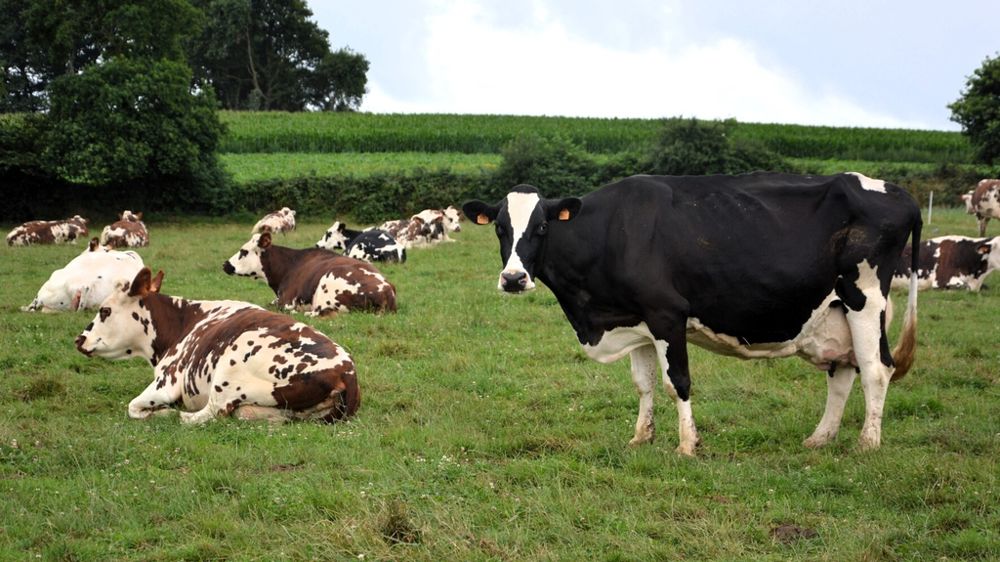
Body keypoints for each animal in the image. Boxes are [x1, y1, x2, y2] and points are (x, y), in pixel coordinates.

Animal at [74, 267, 360, 424]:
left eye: (105, 310)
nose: (79, 339)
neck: (182, 323)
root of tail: (345, 372)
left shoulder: (165, 382)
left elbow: (133, 407)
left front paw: (161, 412)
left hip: (228, 373)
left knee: (202, 416)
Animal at [464, 172, 921, 455]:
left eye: (542, 227)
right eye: (500, 228)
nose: (513, 278)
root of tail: (901, 194)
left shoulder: (667, 313)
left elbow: (677, 383)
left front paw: (687, 444)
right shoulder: (636, 320)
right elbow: (644, 384)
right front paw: (641, 438)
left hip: (865, 299)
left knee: (876, 369)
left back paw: (867, 442)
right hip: (835, 312)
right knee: (842, 373)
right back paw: (820, 438)